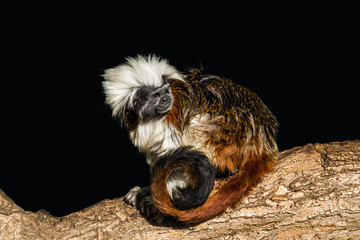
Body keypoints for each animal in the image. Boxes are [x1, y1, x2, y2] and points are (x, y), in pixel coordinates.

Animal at [101, 54, 278, 225]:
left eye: (166, 91)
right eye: (156, 95)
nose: (166, 99)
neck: (151, 118)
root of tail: (262, 142)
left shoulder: (171, 120)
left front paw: (155, 197)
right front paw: (145, 190)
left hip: (233, 133)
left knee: (195, 125)